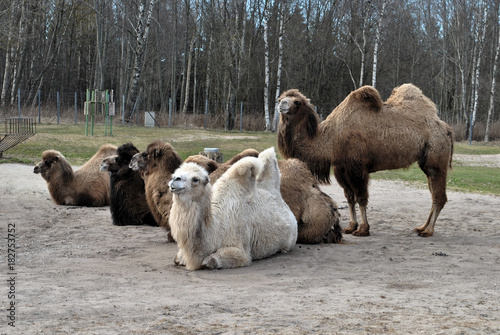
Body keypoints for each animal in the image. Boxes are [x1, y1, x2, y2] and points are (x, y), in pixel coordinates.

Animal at [280, 83, 456, 239]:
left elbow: (361, 198)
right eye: (281, 97)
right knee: (434, 194)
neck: (331, 138)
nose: (281, 104)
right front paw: (351, 227)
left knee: (439, 196)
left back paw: (428, 231)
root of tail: (447, 129)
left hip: (436, 158)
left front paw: (363, 229)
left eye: (297, 102)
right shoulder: (340, 168)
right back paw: (422, 227)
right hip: (426, 164)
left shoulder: (357, 167)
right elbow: (349, 197)